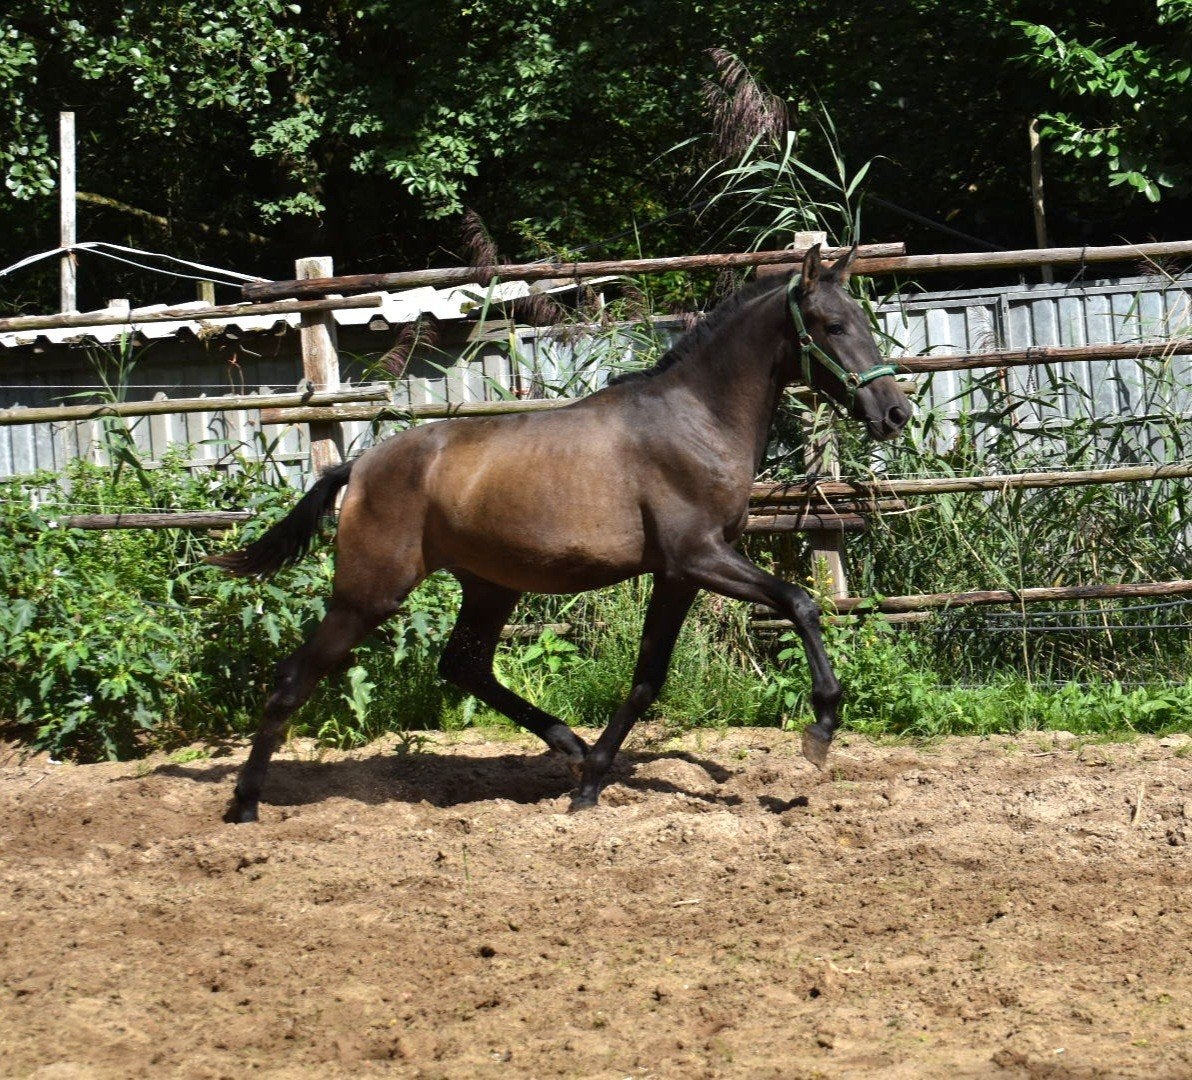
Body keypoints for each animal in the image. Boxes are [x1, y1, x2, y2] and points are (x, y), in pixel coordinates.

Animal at [210, 244, 911, 823]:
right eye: (833, 326)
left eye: (863, 320)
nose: (896, 414)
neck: (696, 420)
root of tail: (359, 467)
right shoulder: (702, 557)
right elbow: (801, 603)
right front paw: (822, 727)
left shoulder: (678, 574)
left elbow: (648, 677)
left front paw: (592, 781)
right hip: (369, 593)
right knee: (293, 680)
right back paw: (244, 806)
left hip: (489, 587)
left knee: (462, 666)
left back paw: (570, 747)